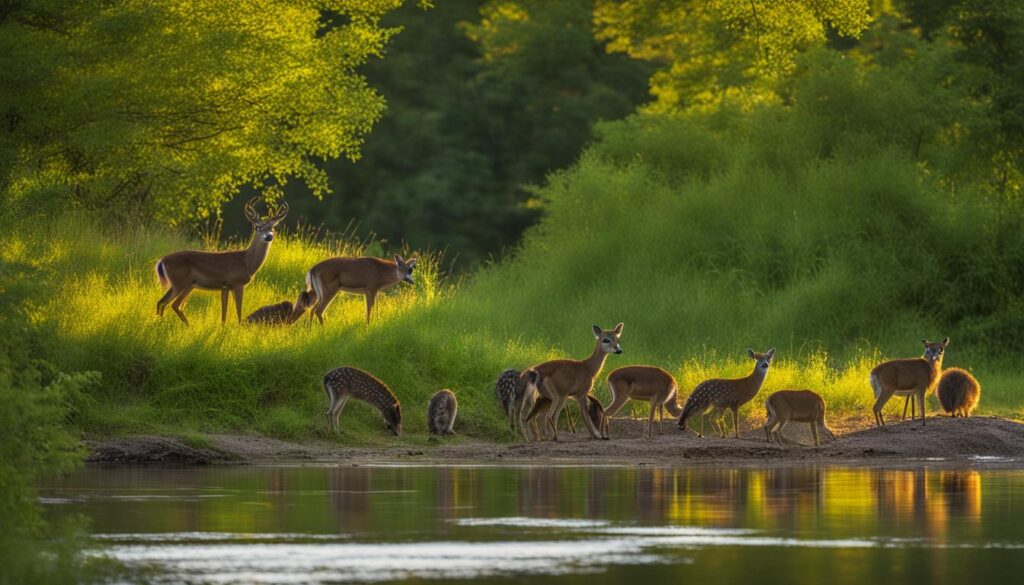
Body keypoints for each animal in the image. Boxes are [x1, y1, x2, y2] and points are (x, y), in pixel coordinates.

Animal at [153, 196, 288, 325]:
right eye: (257, 227)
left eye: (272, 228)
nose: (269, 236)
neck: (247, 262)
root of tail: (162, 260)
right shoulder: (235, 284)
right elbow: (237, 313)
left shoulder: (225, 287)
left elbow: (225, 314)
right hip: (181, 283)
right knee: (172, 304)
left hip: (185, 285)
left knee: (163, 302)